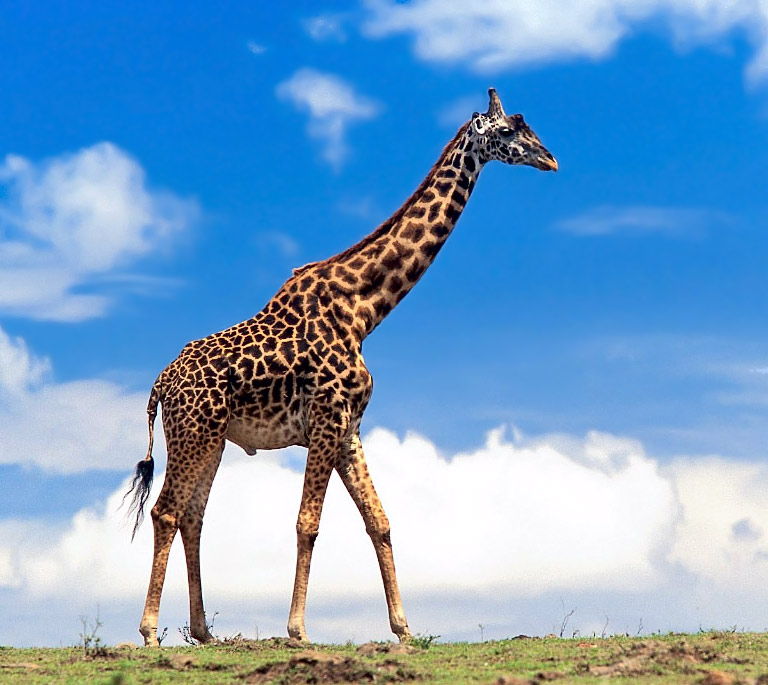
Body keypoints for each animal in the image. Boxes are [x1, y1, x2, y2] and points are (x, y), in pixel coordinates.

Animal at [125, 88, 557, 647]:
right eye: (508, 130)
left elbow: (380, 521)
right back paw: (150, 632)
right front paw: (297, 630)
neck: (365, 310)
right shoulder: (327, 419)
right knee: (167, 511)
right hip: (193, 432)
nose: (550, 159)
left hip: (211, 438)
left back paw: (203, 632)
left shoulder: (349, 428)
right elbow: (308, 522)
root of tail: (159, 384)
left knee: (193, 516)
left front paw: (403, 629)